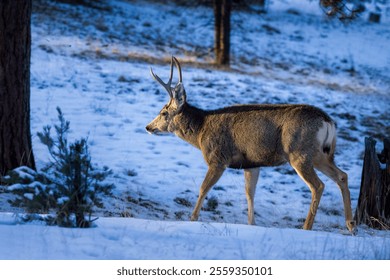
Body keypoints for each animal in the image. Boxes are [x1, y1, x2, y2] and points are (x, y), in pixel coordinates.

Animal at [145, 56, 354, 232]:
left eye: (164, 112)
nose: (148, 127)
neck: (201, 130)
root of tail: (328, 121)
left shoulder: (218, 158)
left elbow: (204, 188)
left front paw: (192, 219)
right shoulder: (251, 164)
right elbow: (249, 194)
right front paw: (252, 224)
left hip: (298, 152)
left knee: (318, 185)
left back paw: (307, 227)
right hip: (321, 154)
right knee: (342, 176)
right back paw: (350, 225)